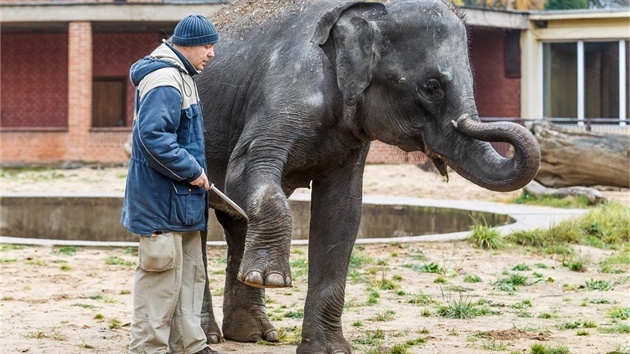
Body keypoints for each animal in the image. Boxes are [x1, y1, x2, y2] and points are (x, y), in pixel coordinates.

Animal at [199, 1, 544, 352]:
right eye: (432, 86)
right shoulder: (286, 89)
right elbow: (242, 172)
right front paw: (272, 279)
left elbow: (342, 211)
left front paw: (329, 350)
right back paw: (212, 336)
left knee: (236, 223)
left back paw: (254, 335)